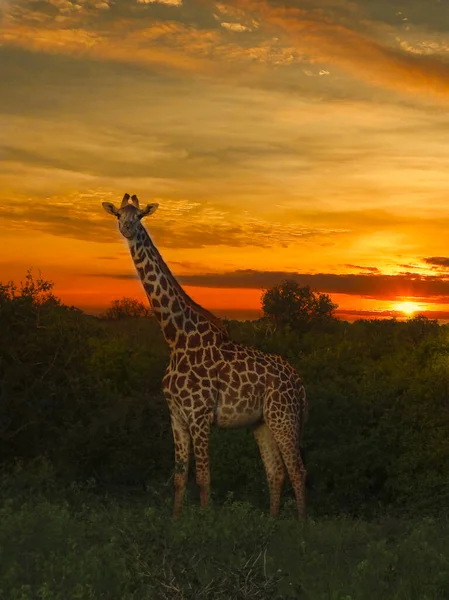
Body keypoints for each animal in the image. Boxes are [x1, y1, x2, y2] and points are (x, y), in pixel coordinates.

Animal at [101, 195, 306, 516]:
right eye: (119, 215)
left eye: (140, 215)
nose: (127, 229)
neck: (176, 339)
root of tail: (299, 382)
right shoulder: (176, 415)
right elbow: (180, 477)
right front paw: (176, 520)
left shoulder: (200, 415)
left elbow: (204, 477)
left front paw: (204, 520)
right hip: (262, 422)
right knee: (276, 471)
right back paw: (272, 522)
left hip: (284, 416)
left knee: (297, 469)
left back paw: (301, 524)